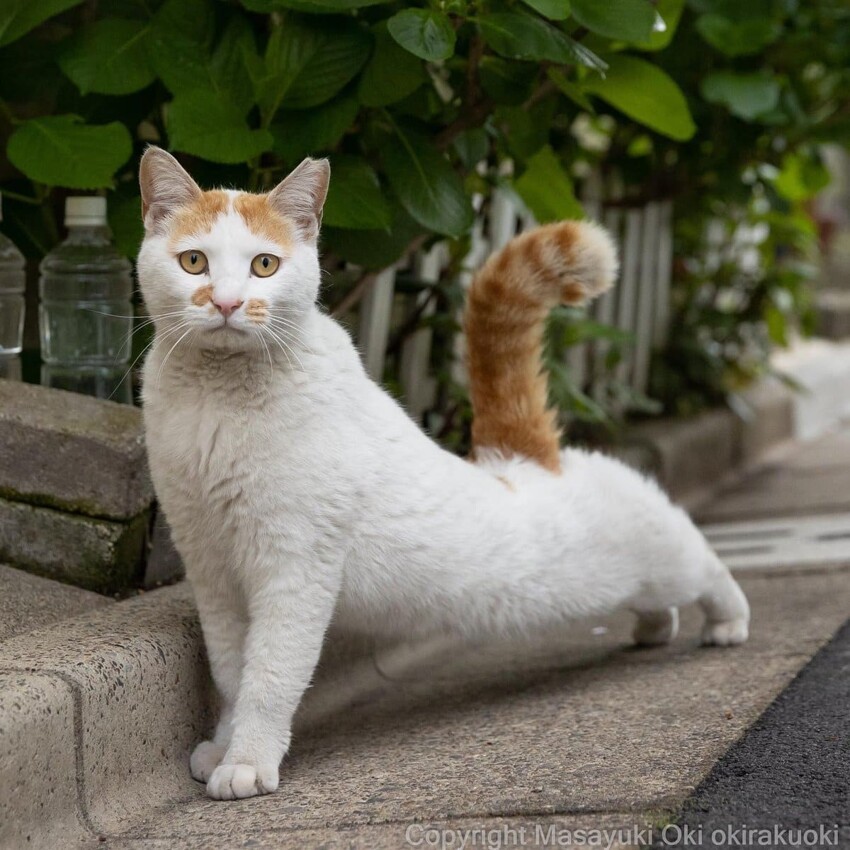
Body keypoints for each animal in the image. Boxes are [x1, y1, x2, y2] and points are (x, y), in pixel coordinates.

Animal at [137, 147, 748, 800]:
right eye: (194, 261)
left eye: (264, 265)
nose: (226, 302)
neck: (217, 400)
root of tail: (527, 459)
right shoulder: (212, 570)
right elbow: (232, 671)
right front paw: (223, 746)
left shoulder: (294, 569)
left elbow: (271, 674)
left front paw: (247, 761)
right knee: (659, 596)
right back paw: (656, 627)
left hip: (655, 552)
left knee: (702, 562)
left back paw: (727, 621)